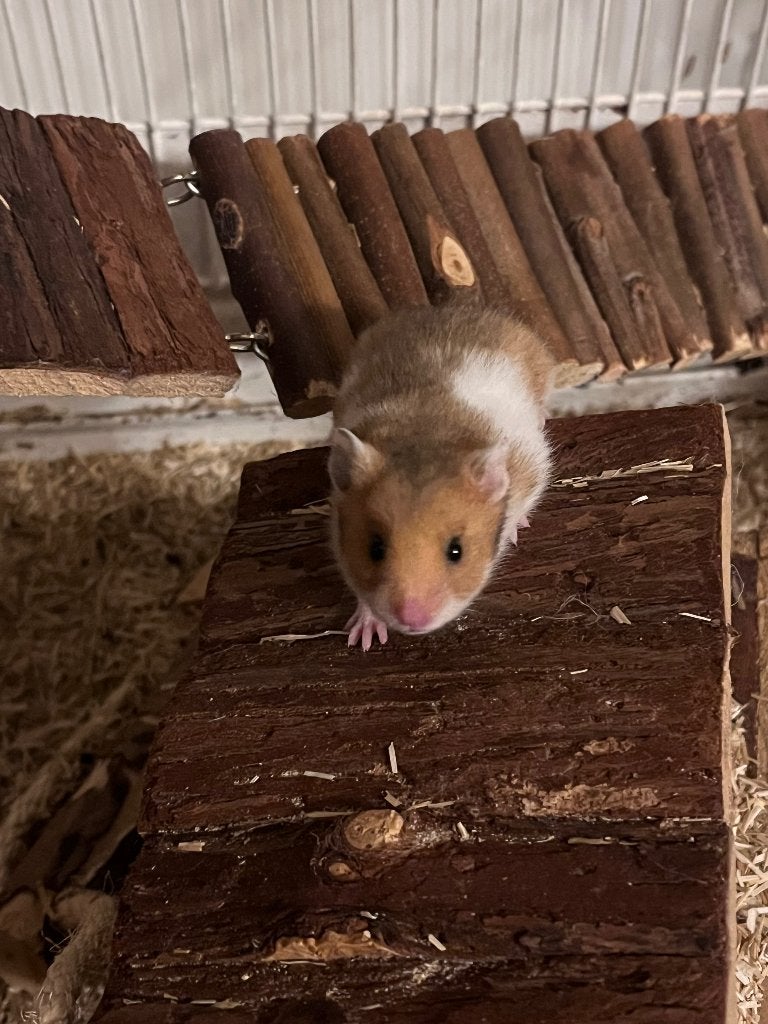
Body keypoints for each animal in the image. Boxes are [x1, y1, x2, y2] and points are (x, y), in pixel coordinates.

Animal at [328, 304, 555, 651]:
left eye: (456, 551)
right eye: (374, 548)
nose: (412, 622)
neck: (424, 434)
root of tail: (446, 308)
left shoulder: (533, 466)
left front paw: (517, 529)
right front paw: (364, 639)